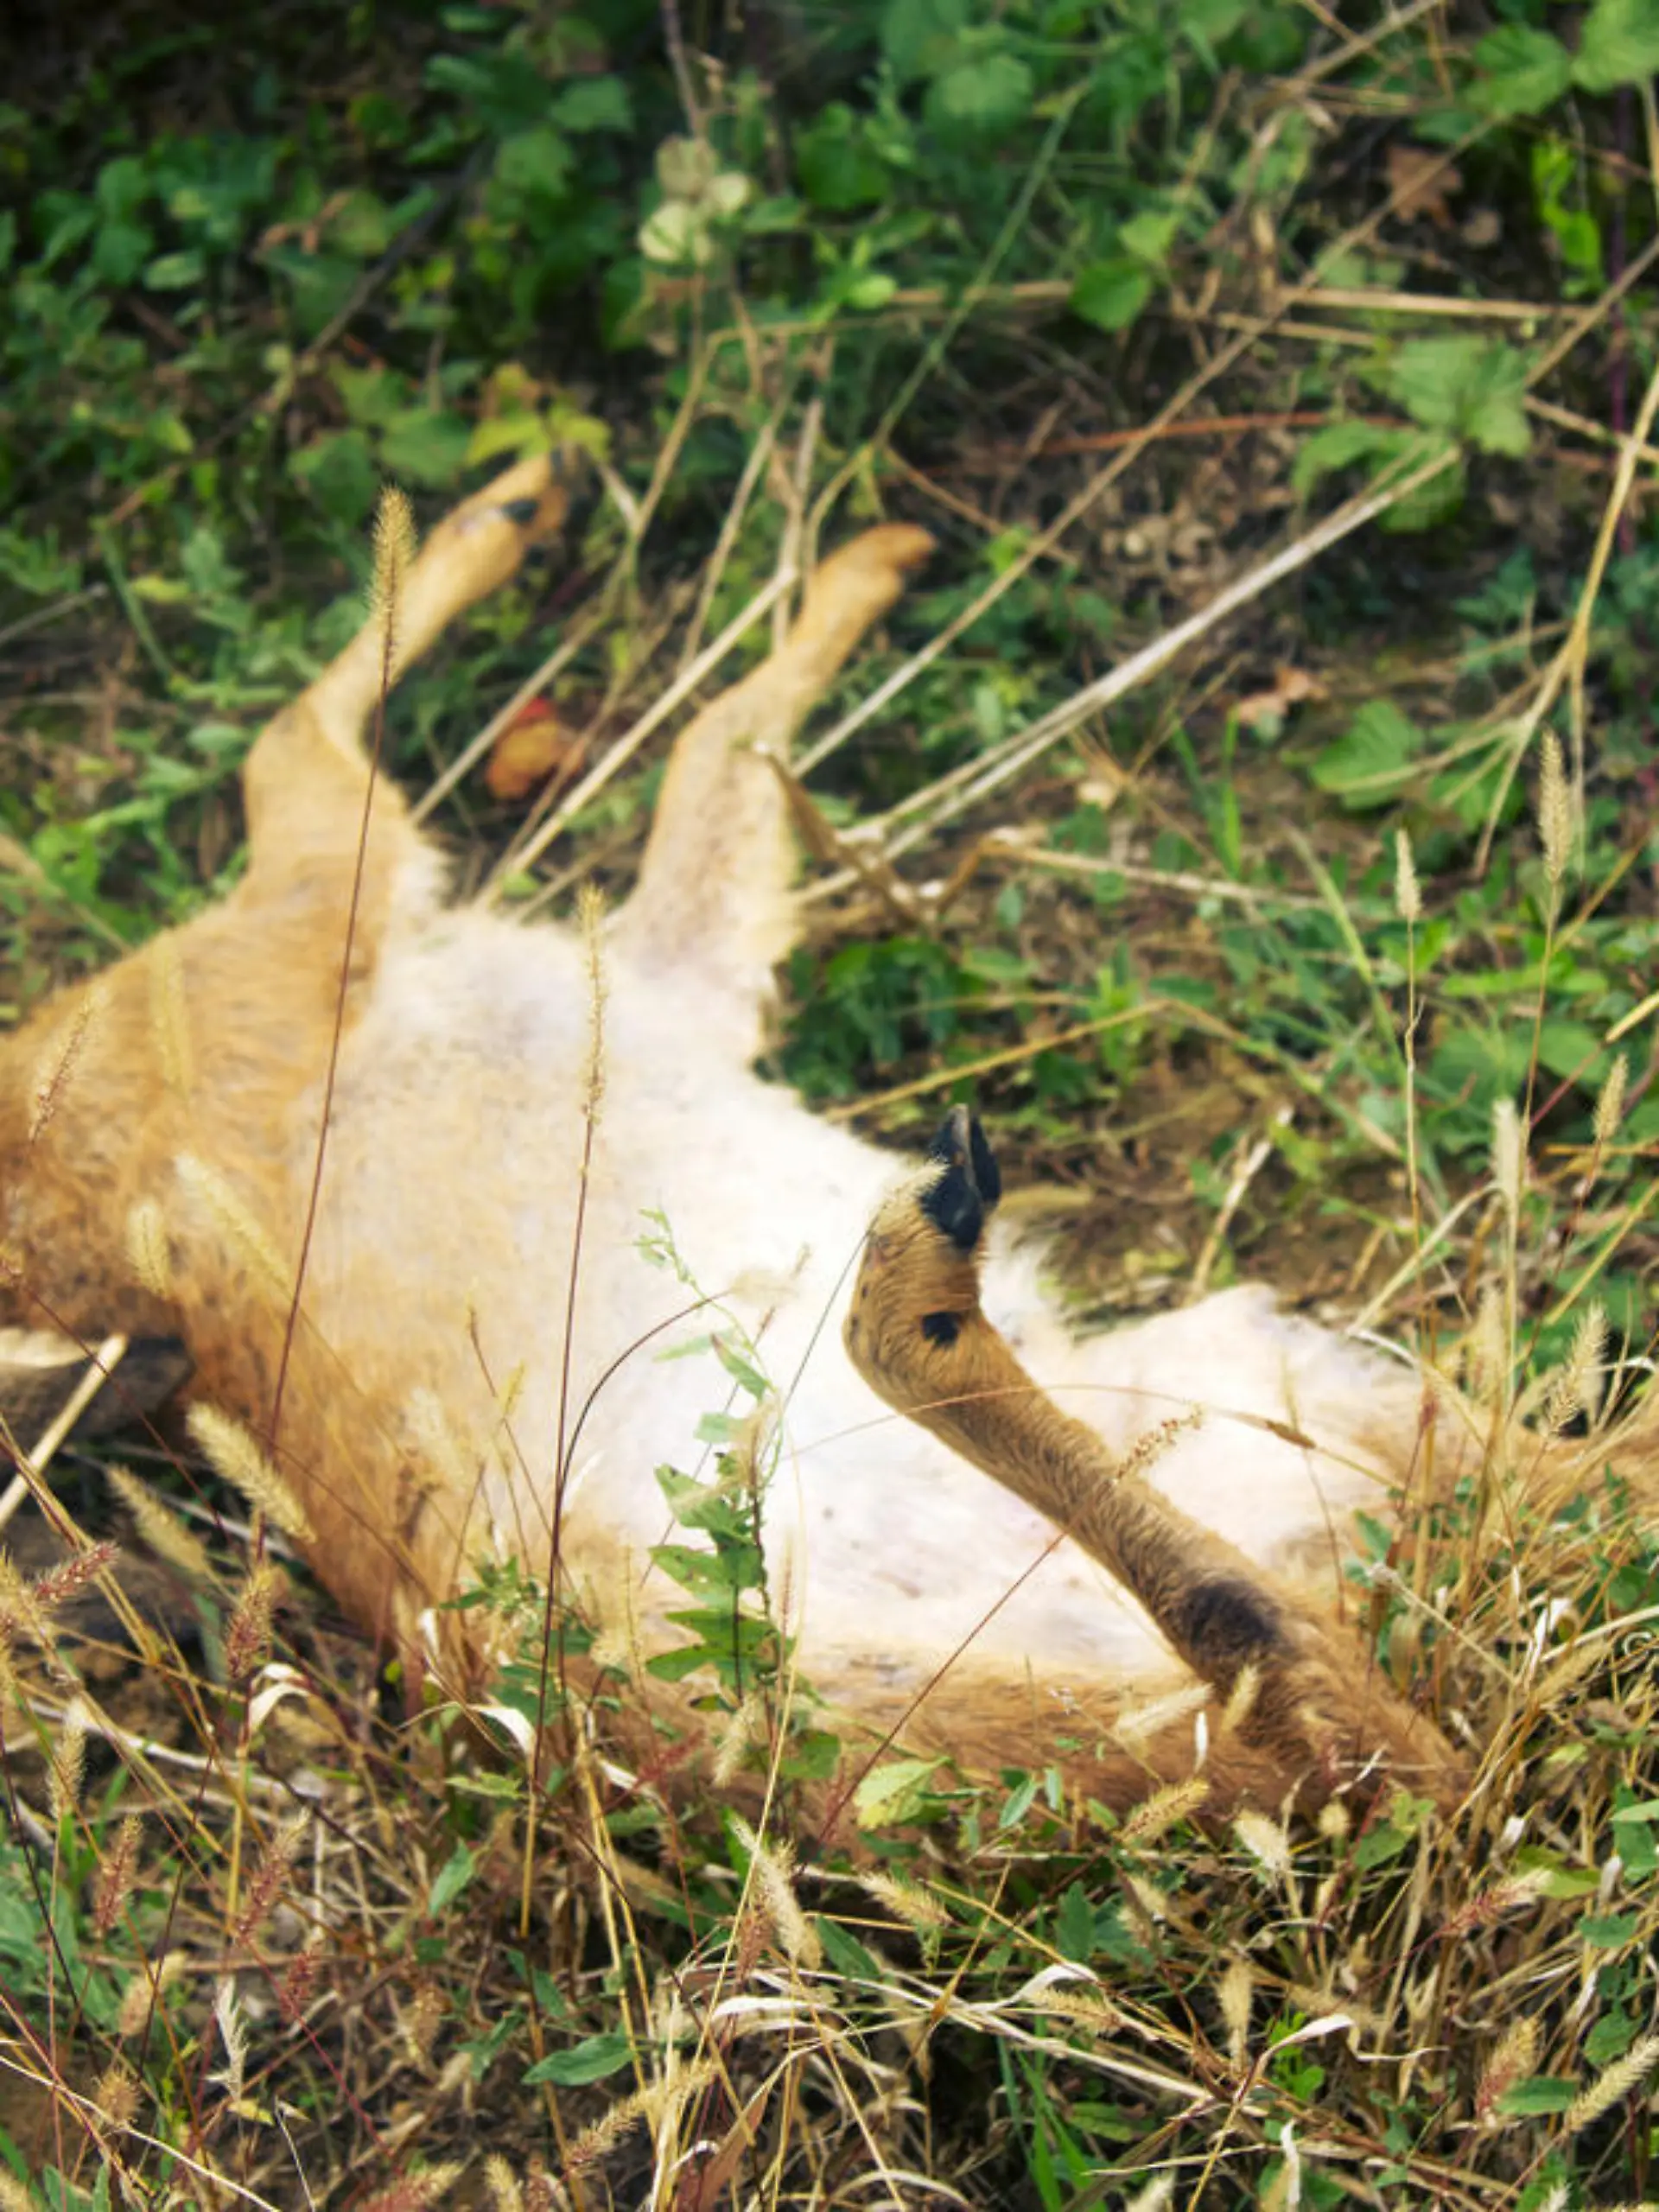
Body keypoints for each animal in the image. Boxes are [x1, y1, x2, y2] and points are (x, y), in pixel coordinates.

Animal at [0, 450, 1642, 1819]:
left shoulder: (623, 966)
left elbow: (710, 754)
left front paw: (842, 560)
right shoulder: (343, 923)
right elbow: (379, 737)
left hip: (1301, 1392)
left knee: (1459, 1573)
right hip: (1232, 1447)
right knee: (1308, 1658)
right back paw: (920, 1279)